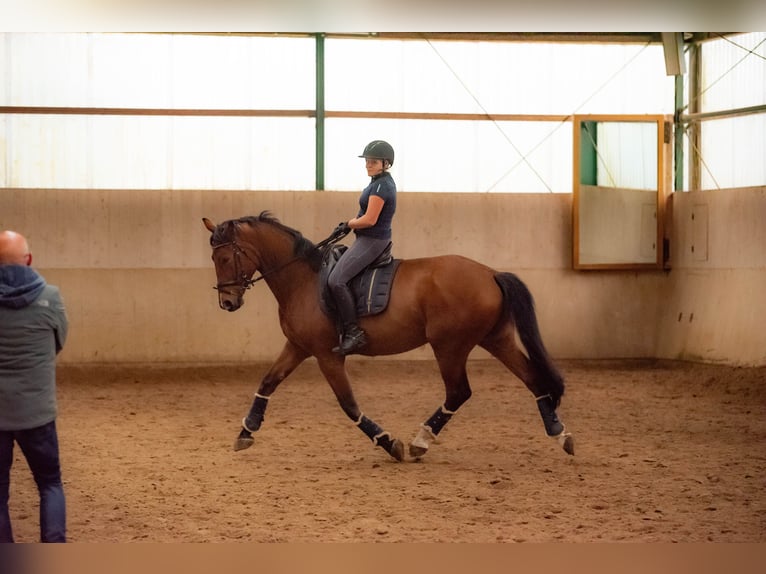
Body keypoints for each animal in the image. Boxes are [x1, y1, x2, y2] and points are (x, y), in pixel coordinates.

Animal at [202, 212, 574, 462]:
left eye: (225, 257)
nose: (227, 302)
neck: (303, 281)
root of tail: (491, 273)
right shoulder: (297, 347)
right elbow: (267, 382)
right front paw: (246, 431)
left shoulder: (327, 354)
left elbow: (348, 404)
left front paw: (387, 441)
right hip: (496, 339)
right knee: (533, 380)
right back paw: (560, 435)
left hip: (449, 346)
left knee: (458, 392)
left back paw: (420, 441)